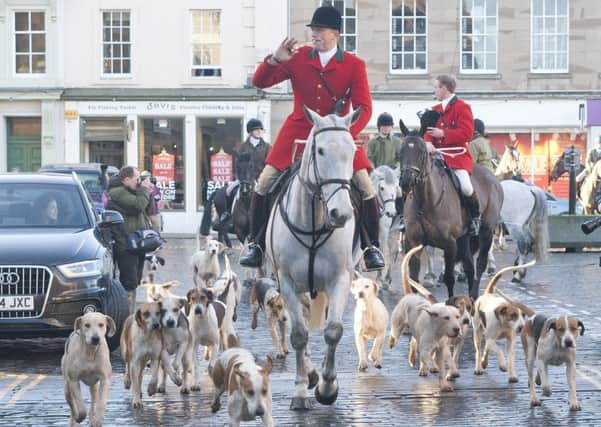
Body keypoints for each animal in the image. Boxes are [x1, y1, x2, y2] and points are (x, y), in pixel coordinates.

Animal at [268, 107, 360, 412]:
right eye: (320, 150)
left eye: (353, 150)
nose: (341, 213)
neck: (314, 219)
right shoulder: (286, 282)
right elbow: (298, 335)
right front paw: (300, 389)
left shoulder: (340, 280)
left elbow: (333, 331)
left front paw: (328, 387)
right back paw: (309, 373)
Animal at [400, 133, 504, 298]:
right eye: (401, 151)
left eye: (422, 152)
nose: (406, 181)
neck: (425, 202)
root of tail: (493, 177)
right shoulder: (414, 243)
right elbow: (413, 279)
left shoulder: (450, 245)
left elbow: (449, 278)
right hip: (464, 237)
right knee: (469, 267)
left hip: (486, 231)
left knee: (480, 264)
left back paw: (474, 295)